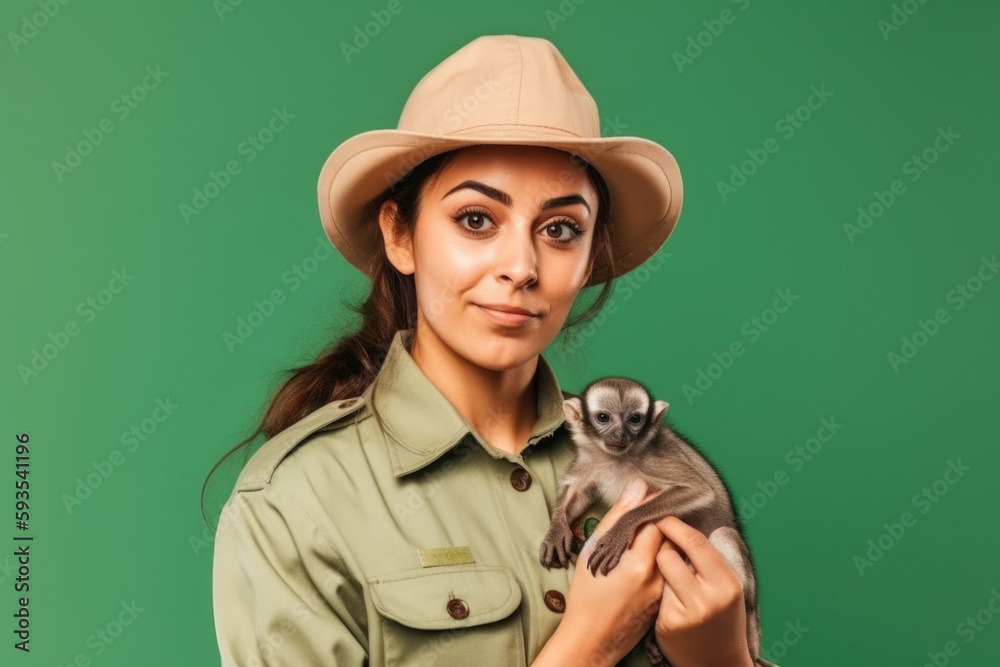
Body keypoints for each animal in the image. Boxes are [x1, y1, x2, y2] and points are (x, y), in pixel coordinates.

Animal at [539, 376, 762, 666]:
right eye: (603, 417)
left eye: (634, 419)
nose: (621, 435)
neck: (615, 459)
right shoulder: (590, 461)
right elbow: (576, 496)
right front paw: (556, 529)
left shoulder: (653, 459)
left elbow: (698, 490)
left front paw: (620, 530)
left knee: (723, 534)